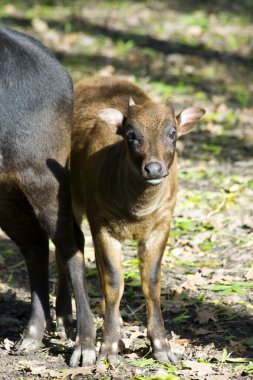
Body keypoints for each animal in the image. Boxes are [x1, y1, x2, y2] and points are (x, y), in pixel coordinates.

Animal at [68, 77, 205, 366]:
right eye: (131, 134)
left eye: (172, 133)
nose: (153, 169)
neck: (136, 211)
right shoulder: (102, 224)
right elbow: (113, 283)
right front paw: (108, 348)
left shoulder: (161, 225)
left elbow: (151, 283)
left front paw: (162, 347)